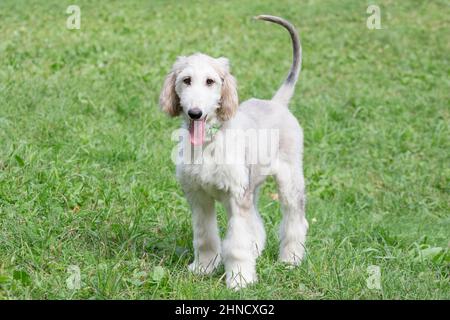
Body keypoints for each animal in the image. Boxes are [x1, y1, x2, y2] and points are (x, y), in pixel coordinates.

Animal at [159, 15, 310, 290]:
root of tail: (277, 103)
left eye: (210, 81)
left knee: (296, 220)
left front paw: (240, 279)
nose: (195, 113)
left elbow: (237, 243)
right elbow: (205, 237)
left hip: (289, 180)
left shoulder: (237, 196)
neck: (209, 142)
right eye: (186, 80)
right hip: (251, 185)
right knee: (257, 224)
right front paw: (203, 268)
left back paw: (290, 259)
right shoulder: (199, 197)